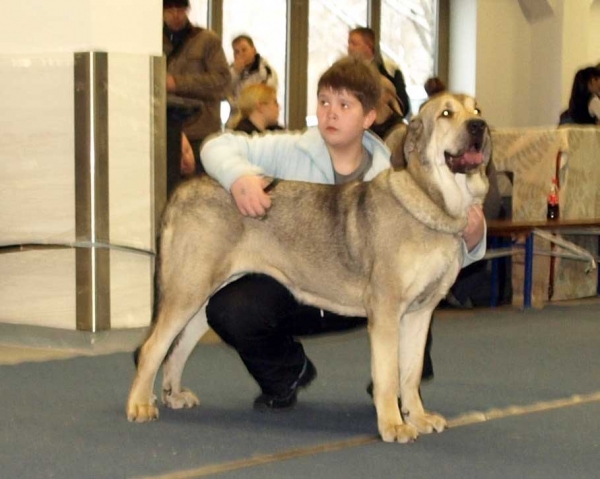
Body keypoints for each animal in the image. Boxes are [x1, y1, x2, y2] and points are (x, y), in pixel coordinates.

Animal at [126, 94, 492, 446]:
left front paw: (418, 417)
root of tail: (182, 191)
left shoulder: (420, 313)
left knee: (177, 348)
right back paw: (140, 405)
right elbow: (389, 376)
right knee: (152, 348)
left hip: (202, 300)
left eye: (476, 109)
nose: (479, 126)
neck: (432, 202)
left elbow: (410, 373)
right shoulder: (387, 312)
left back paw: (173, 395)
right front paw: (393, 425)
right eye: (446, 114)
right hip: (187, 290)